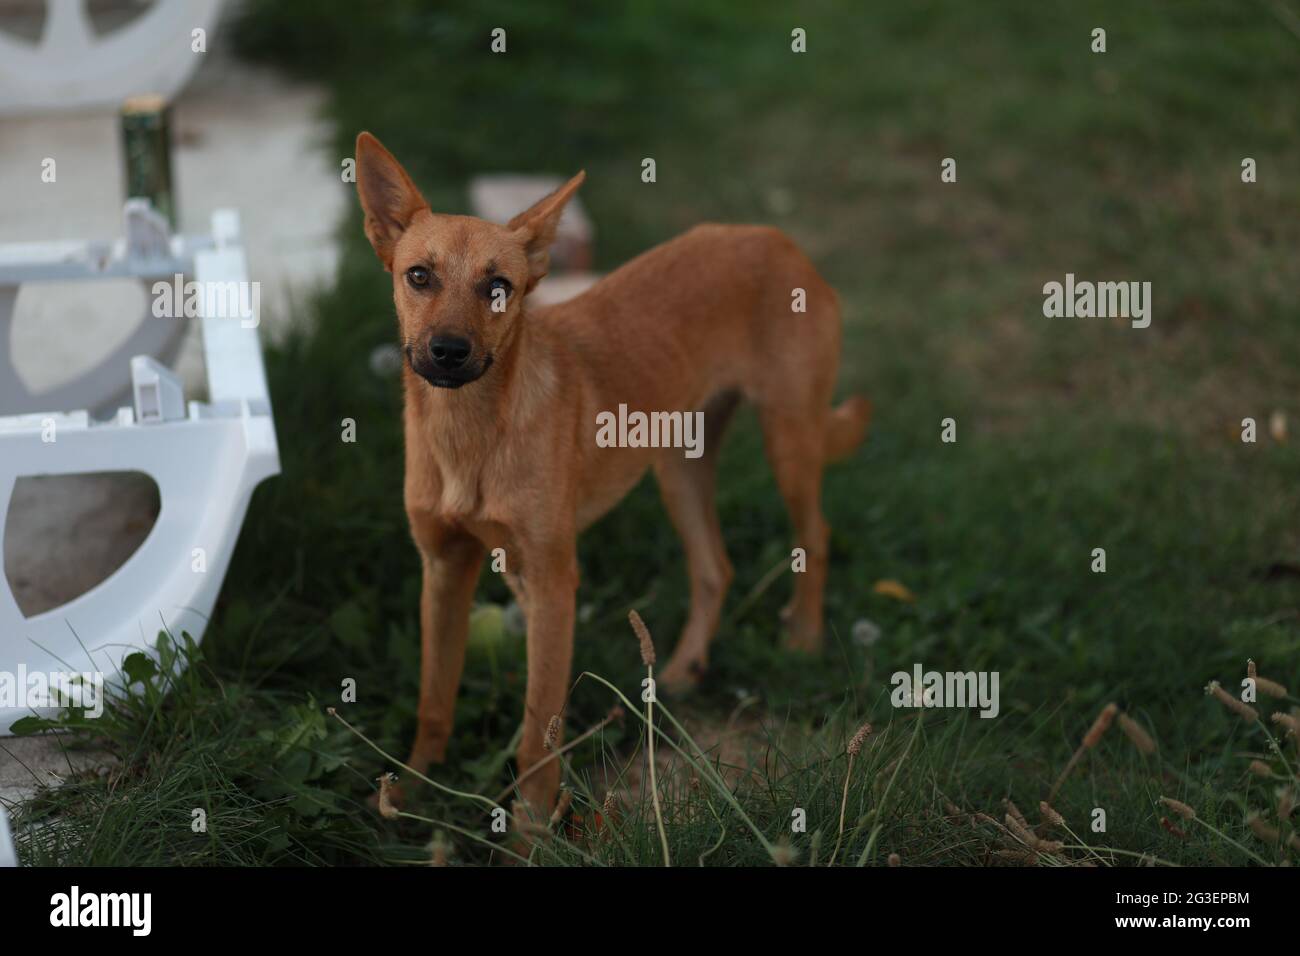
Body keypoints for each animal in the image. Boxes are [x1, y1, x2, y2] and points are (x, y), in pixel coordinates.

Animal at [351, 132, 868, 822]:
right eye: (418, 276)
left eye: (499, 287)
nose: (449, 352)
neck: (471, 435)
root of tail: (776, 238)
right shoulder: (444, 569)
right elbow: (435, 702)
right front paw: (407, 793)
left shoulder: (552, 585)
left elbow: (537, 737)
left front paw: (530, 832)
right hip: (679, 469)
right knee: (716, 567)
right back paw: (679, 672)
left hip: (789, 443)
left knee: (816, 534)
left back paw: (804, 640)